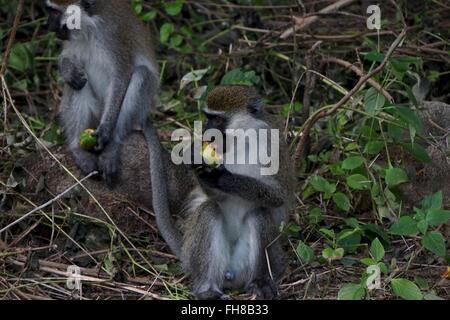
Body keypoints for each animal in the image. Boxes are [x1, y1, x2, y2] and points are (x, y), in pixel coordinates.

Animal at [45, 0, 158, 184]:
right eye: (48, 10)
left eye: (55, 12)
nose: (47, 25)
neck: (90, 27)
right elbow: (67, 57)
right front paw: (67, 70)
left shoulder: (113, 37)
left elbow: (120, 78)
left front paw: (106, 129)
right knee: (78, 84)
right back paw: (77, 149)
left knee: (142, 74)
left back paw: (112, 145)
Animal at [145, 86, 296, 298]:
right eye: (207, 117)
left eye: (217, 120)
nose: (206, 132)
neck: (242, 141)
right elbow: (215, 198)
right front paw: (198, 165)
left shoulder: (271, 144)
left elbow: (278, 195)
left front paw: (221, 177)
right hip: (196, 254)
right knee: (209, 210)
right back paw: (207, 289)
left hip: (267, 260)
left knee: (258, 214)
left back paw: (260, 281)